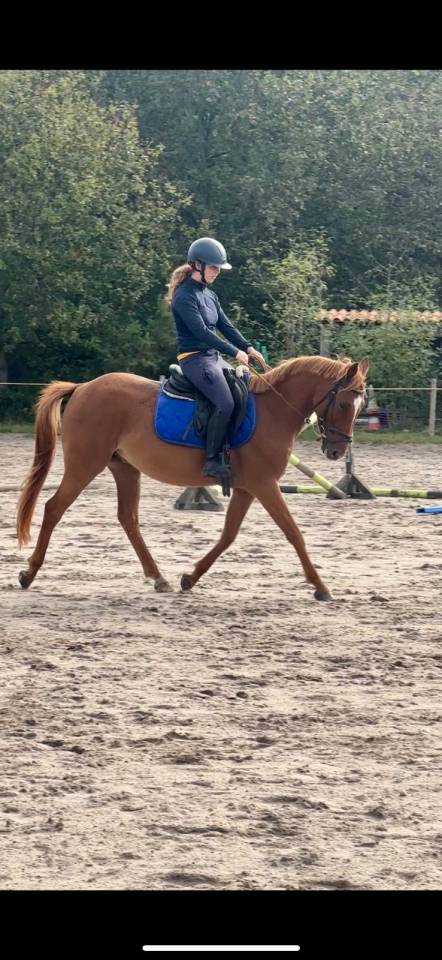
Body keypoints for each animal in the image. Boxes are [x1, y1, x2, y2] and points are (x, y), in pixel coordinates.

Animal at [16, 354, 369, 600]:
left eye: (360, 404)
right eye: (344, 403)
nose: (337, 451)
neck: (273, 412)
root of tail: (82, 387)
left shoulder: (248, 488)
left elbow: (228, 535)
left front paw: (190, 577)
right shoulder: (265, 485)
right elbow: (294, 533)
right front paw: (321, 586)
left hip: (125, 469)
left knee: (128, 518)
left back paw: (159, 578)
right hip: (84, 465)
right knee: (53, 508)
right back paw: (29, 573)